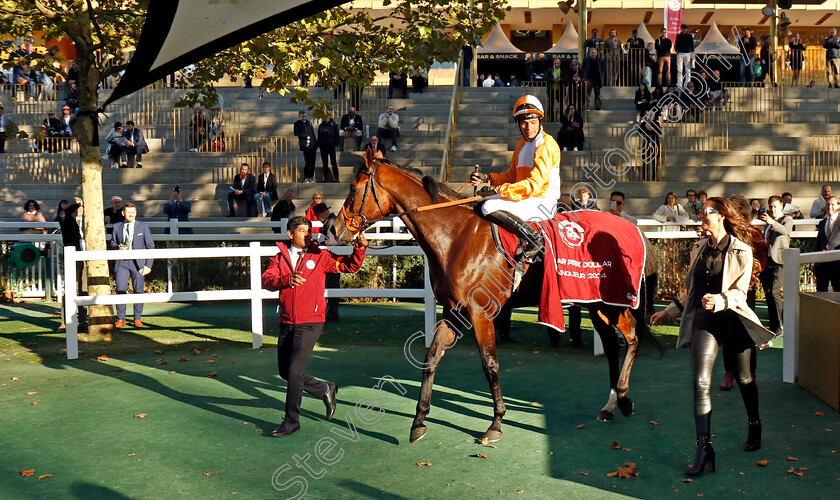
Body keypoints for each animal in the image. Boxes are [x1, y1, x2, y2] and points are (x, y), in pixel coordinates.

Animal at [334, 154, 648, 444]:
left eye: (352, 188)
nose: (334, 230)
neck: (455, 235)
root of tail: (632, 227)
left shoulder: (480, 313)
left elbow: (490, 365)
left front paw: (496, 423)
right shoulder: (453, 312)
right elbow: (432, 358)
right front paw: (419, 421)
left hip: (611, 301)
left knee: (631, 337)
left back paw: (622, 396)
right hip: (596, 305)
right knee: (613, 344)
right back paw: (614, 403)